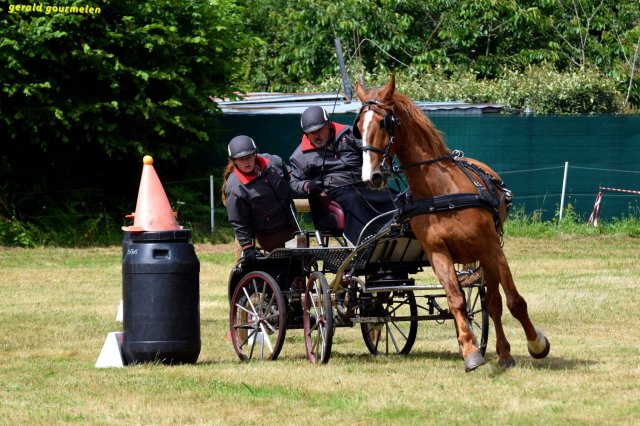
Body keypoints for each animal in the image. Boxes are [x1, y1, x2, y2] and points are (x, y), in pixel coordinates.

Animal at [353, 75, 550, 371]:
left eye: (383, 123)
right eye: (358, 127)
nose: (371, 176)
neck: (440, 194)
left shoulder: (492, 249)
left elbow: (514, 301)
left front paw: (536, 343)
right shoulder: (438, 253)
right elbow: (456, 300)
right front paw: (469, 351)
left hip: (488, 255)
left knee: (494, 303)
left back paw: (504, 353)